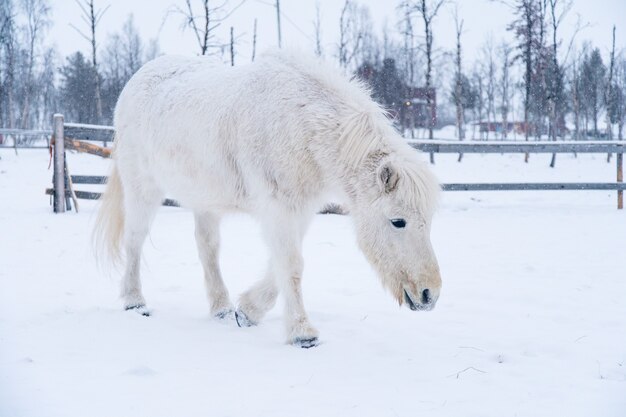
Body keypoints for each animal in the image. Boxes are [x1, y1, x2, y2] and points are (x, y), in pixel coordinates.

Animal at [95, 50, 442, 346]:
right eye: (398, 221)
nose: (430, 295)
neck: (299, 122)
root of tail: (139, 77)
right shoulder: (279, 208)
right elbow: (291, 264)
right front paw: (302, 333)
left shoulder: (300, 209)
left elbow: (282, 264)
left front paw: (247, 312)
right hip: (143, 188)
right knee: (135, 240)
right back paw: (135, 302)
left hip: (205, 201)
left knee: (207, 249)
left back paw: (221, 308)